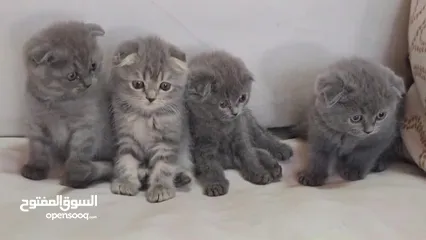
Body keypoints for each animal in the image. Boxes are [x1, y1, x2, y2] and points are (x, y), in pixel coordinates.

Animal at [20, 20, 114, 188]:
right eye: (72, 76)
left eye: (93, 66)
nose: (88, 83)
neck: (60, 103)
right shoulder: (36, 123)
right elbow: (38, 147)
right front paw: (35, 167)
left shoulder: (87, 124)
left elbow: (80, 150)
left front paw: (74, 173)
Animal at [110, 34, 191, 202]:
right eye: (137, 84)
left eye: (165, 86)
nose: (151, 98)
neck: (146, 117)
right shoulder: (127, 137)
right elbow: (126, 160)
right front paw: (126, 181)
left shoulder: (167, 139)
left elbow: (163, 167)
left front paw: (161, 188)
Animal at [186, 50, 292, 197]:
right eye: (223, 104)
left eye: (242, 97)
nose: (235, 112)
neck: (222, 127)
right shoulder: (203, 145)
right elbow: (210, 166)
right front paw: (216, 185)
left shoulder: (240, 134)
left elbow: (249, 155)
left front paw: (259, 173)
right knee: (258, 149)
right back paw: (273, 167)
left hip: (249, 121)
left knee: (263, 138)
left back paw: (281, 150)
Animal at [296, 57, 406, 187]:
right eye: (356, 118)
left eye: (381, 115)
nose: (369, 131)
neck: (347, 135)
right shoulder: (319, 131)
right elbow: (318, 155)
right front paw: (313, 175)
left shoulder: (381, 136)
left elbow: (363, 154)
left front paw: (353, 171)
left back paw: (380, 163)